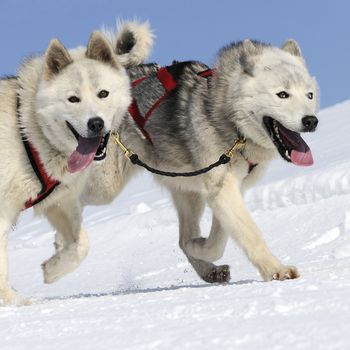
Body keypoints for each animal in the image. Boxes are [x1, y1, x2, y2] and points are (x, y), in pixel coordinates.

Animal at [0, 22, 153, 306]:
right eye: (73, 99)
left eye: (103, 94)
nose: (96, 124)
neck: (29, 131)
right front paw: (16, 302)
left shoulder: (59, 202)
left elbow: (81, 244)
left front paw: (52, 269)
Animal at [83, 37, 318, 284]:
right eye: (282, 94)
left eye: (309, 95)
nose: (311, 121)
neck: (232, 122)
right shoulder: (222, 189)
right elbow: (250, 234)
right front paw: (276, 270)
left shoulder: (227, 190)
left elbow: (216, 242)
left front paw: (198, 247)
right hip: (104, 186)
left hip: (188, 193)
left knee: (182, 239)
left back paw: (208, 269)